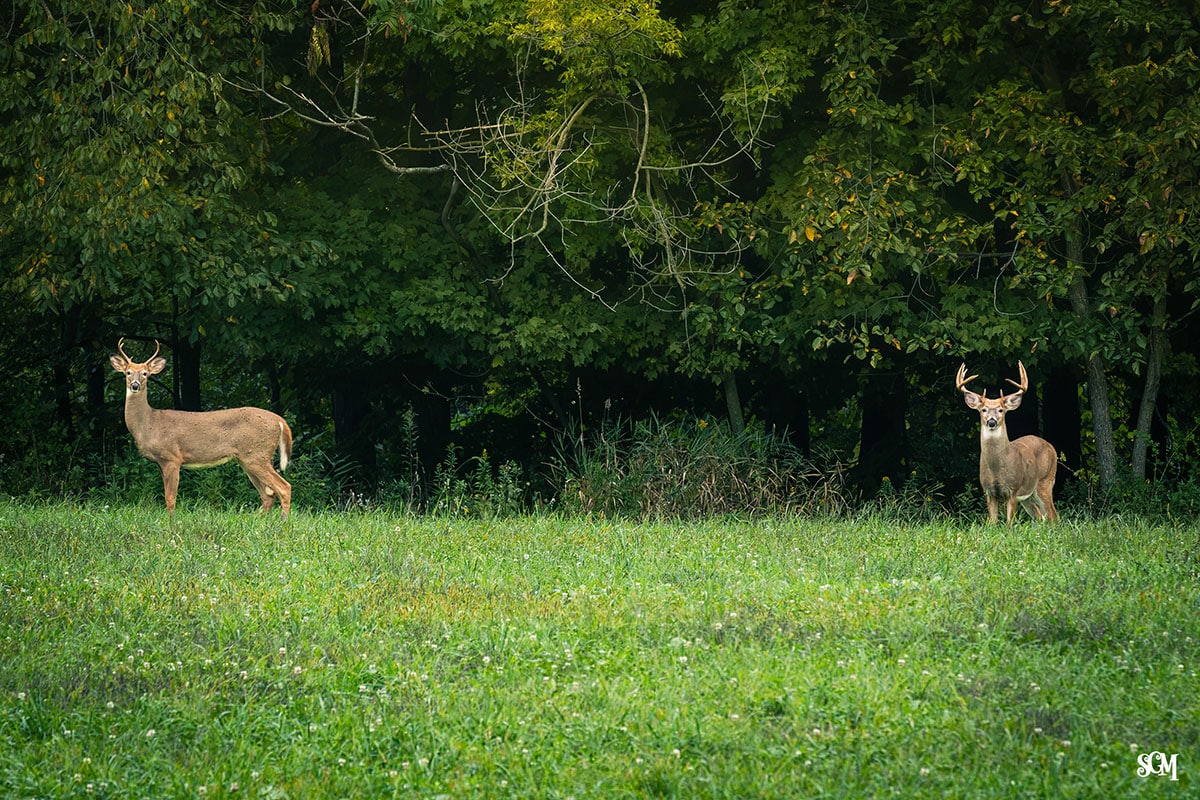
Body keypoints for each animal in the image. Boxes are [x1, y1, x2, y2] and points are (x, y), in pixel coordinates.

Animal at [110, 338, 293, 520]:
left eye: (145, 374)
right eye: (127, 372)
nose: (135, 385)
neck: (149, 423)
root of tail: (280, 420)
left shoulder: (172, 457)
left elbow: (170, 498)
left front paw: (172, 522)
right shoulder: (160, 462)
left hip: (257, 455)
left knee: (284, 487)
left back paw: (282, 522)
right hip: (248, 458)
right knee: (268, 494)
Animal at [955, 360, 1058, 526]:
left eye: (1001, 410)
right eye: (983, 410)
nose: (991, 422)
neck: (997, 469)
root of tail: (1051, 446)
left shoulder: (1013, 490)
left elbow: (1009, 524)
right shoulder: (989, 492)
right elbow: (992, 523)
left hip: (1046, 480)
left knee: (1053, 515)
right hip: (1029, 495)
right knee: (1040, 515)